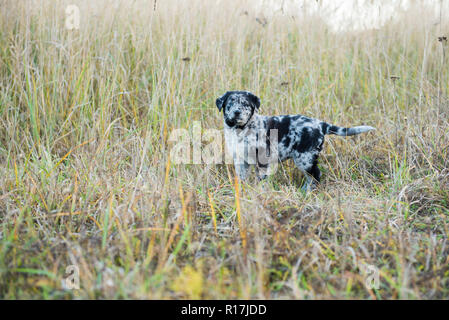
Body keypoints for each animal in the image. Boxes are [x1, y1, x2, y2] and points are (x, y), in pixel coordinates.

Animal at [216, 90, 374, 190]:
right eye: (230, 103)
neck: (241, 129)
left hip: (305, 158)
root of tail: (321, 124)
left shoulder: (263, 159)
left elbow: (262, 179)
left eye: (245, 104)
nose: (237, 112)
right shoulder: (240, 160)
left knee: (315, 175)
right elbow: (241, 178)